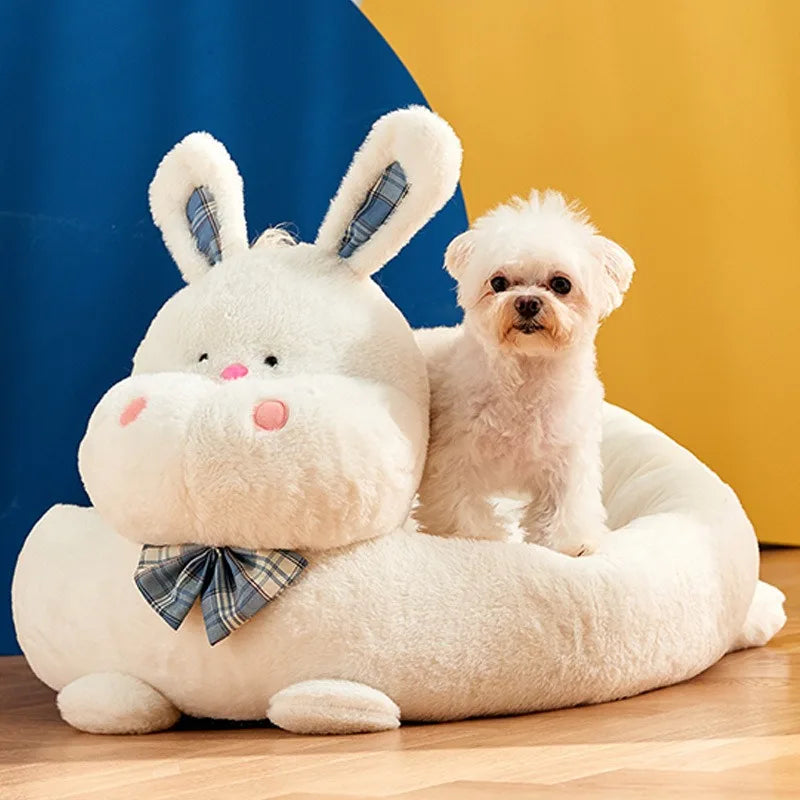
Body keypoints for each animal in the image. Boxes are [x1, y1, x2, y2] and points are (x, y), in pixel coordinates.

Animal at [416, 190, 636, 552]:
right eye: (498, 282)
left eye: (561, 284)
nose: (527, 302)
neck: (527, 379)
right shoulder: (454, 459)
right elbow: (461, 510)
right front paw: (479, 538)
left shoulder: (567, 461)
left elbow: (565, 506)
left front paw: (569, 544)